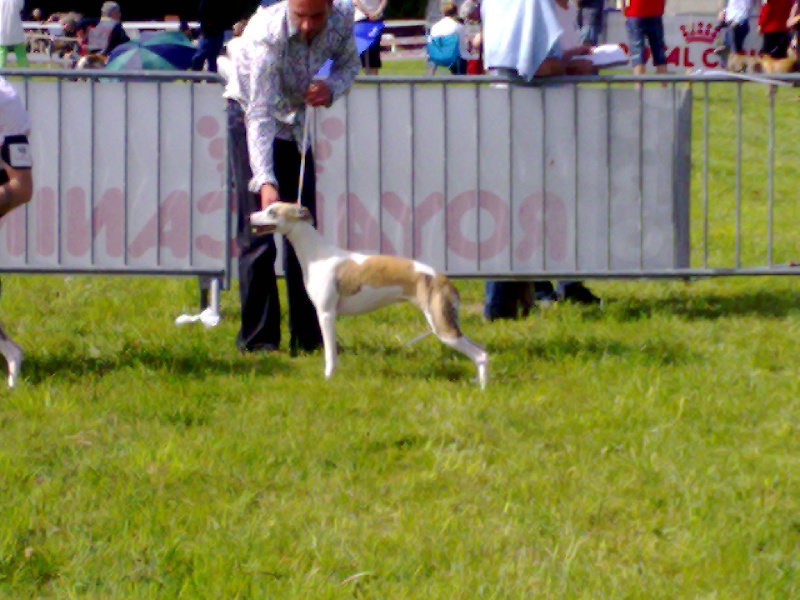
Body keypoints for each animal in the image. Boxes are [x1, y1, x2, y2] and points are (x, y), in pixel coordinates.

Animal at [250, 203, 488, 390]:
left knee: (480, 354)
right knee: (480, 349)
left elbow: (330, 353)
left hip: (441, 325)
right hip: (447, 322)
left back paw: (483, 389)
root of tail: (443, 279)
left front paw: (328, 378)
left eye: (272, 211)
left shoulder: (326, 314)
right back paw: (478, 381)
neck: (318, 255)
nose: (250, 216)